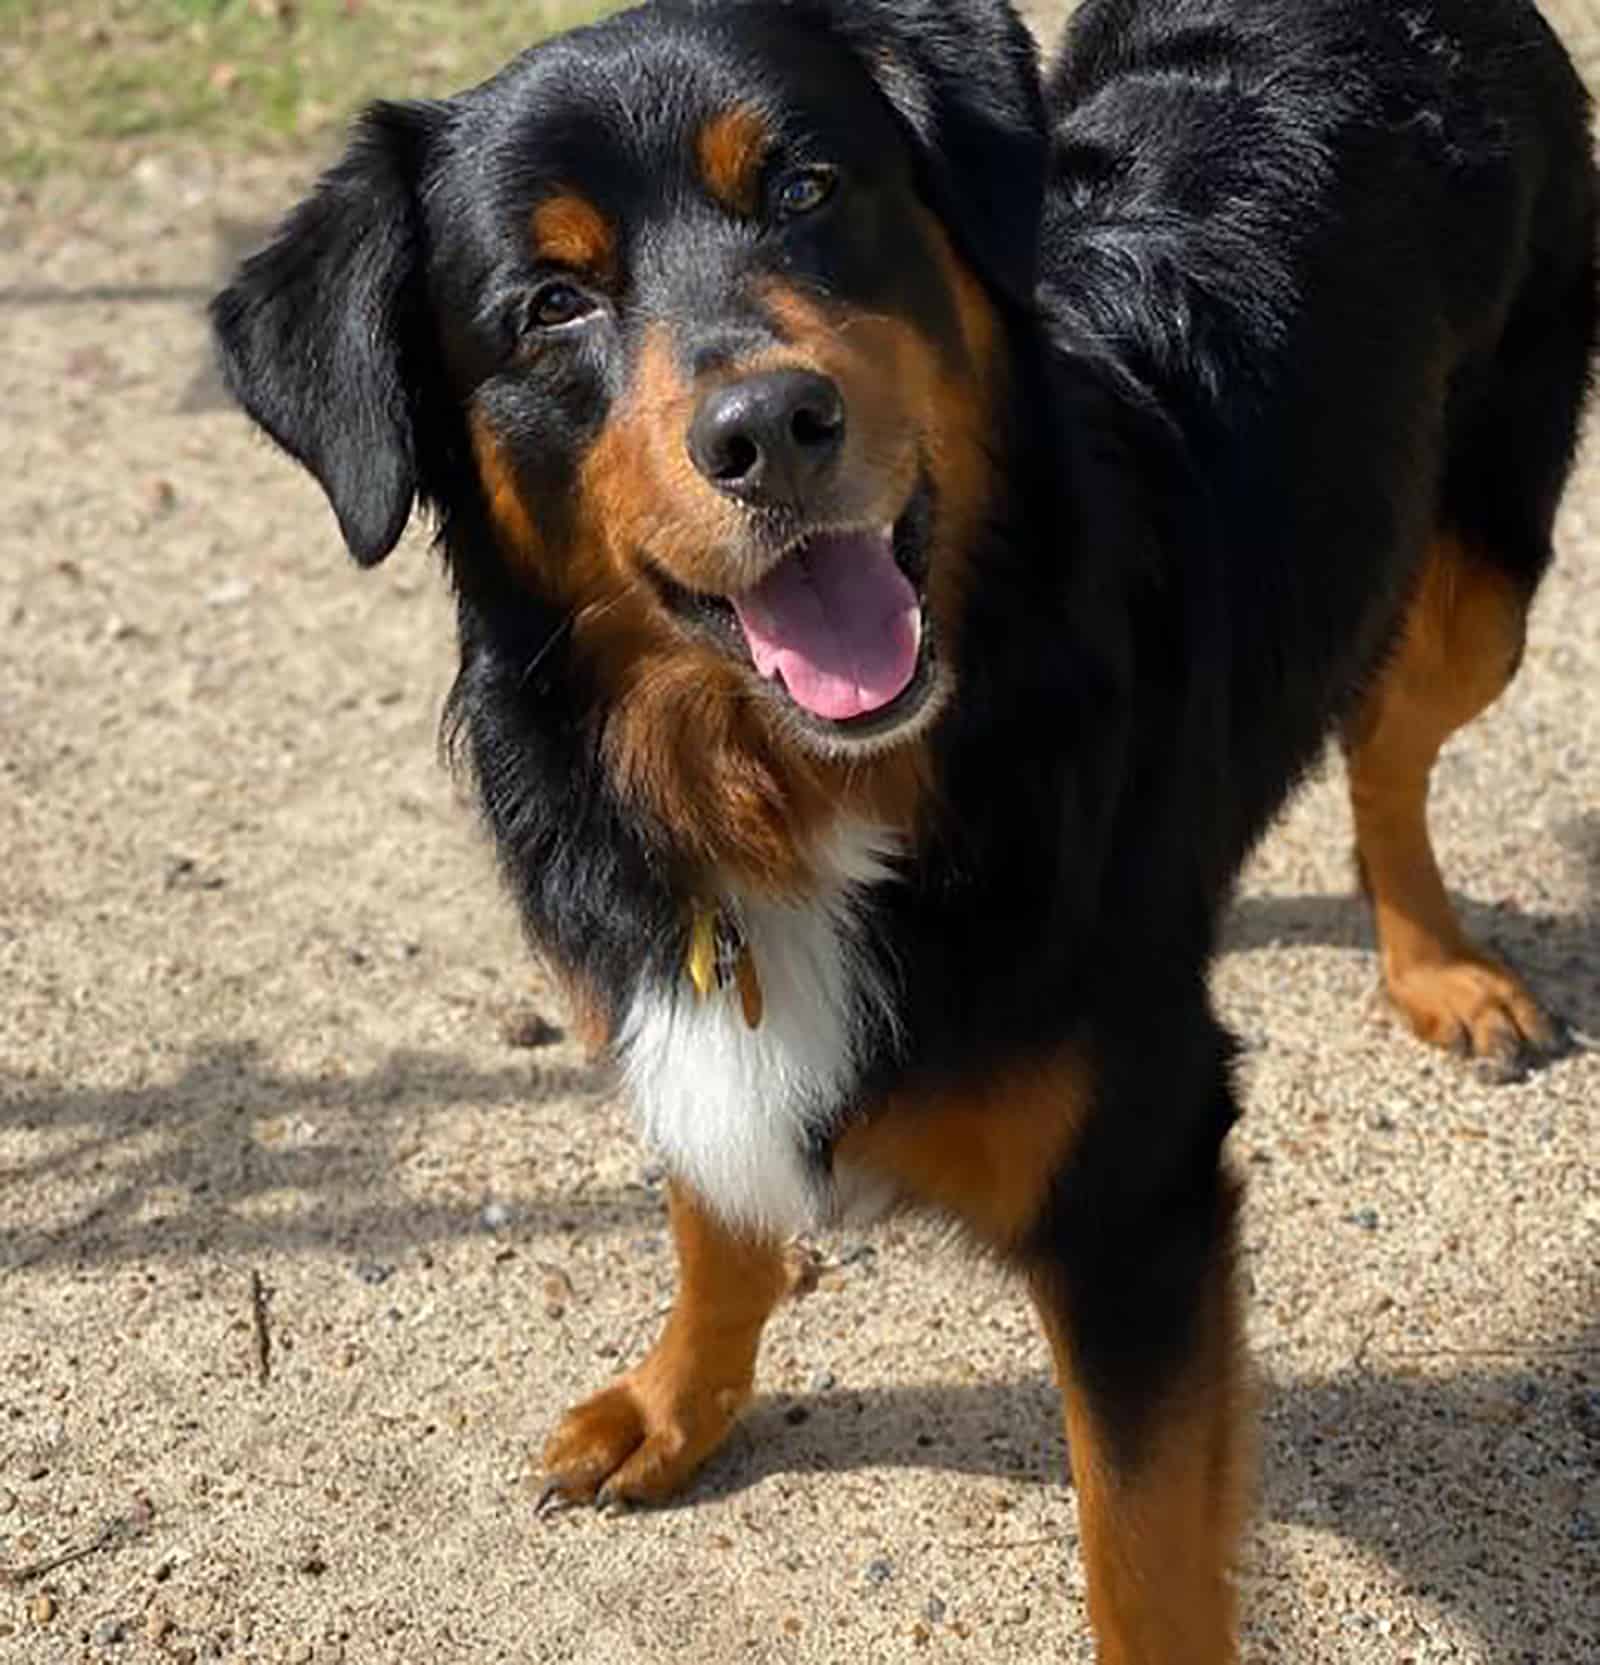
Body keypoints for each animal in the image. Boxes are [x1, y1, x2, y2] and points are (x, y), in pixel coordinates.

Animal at [208, 0, 1585, 1651]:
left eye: (806, 188)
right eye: (549, 303)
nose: (773, 428)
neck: (814, 787)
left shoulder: (1139, 1194)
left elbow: (1142, 1554)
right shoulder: (687, 995)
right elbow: (714, 1221)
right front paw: (677, 1407)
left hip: (1484, 579)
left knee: (1388, 742)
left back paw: (1437, 962)